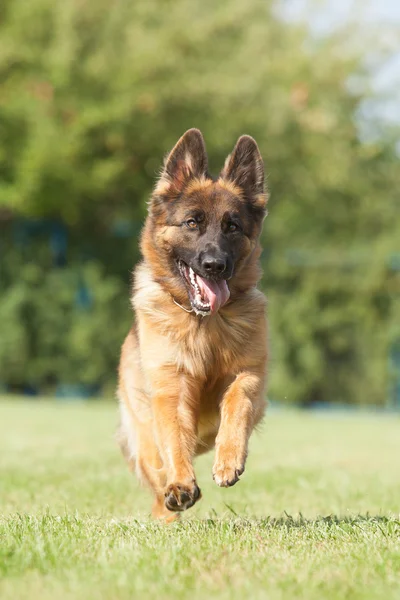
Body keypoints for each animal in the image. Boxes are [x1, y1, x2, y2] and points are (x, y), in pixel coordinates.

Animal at [118, 127, 268, 520]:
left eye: (232, 227)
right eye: (192, 223)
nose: (215, 265)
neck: (205, 325)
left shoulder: (248, 375)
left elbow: (237, 403)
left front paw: (229, 460)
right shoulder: (172, 387)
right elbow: (174, 439)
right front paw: (182, 484)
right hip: (146, 439)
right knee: (158, 476)